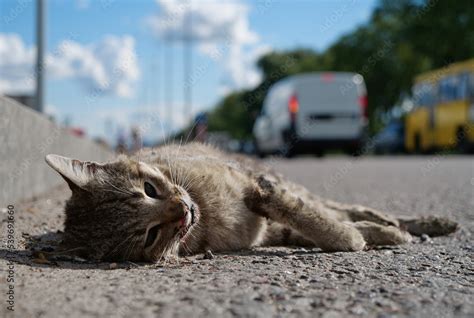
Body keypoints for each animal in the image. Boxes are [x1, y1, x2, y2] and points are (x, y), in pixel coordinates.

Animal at [46, 143, 458, 262]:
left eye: (149, 188)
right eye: (149, 235)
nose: (183, 210)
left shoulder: (260, 188)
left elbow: (308, 215)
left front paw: (354, 237)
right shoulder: (272, 225)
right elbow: (318, 226)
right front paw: (360, 238)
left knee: (346, 208)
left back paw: (423, 224)